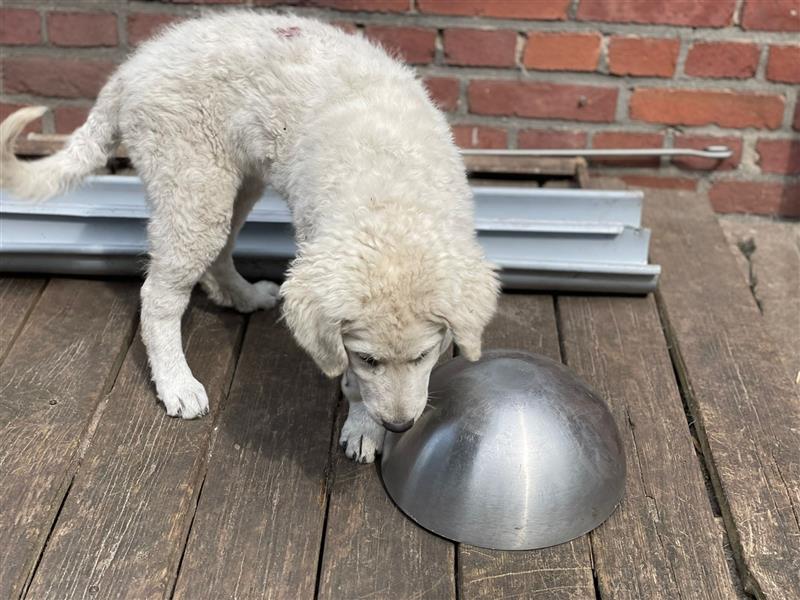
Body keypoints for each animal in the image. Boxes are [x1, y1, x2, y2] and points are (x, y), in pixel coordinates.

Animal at [0, 14, 496, 464]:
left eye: (425, 355)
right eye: (368, 359)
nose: (399, 425)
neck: (390, 198)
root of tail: (130, 69)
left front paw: (367, 427)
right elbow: (353, 380)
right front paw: (363, 425)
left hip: (236, 181)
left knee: (219, 254)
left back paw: (244, 297)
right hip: (193, 182)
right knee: (158, 296)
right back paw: (177, 384)